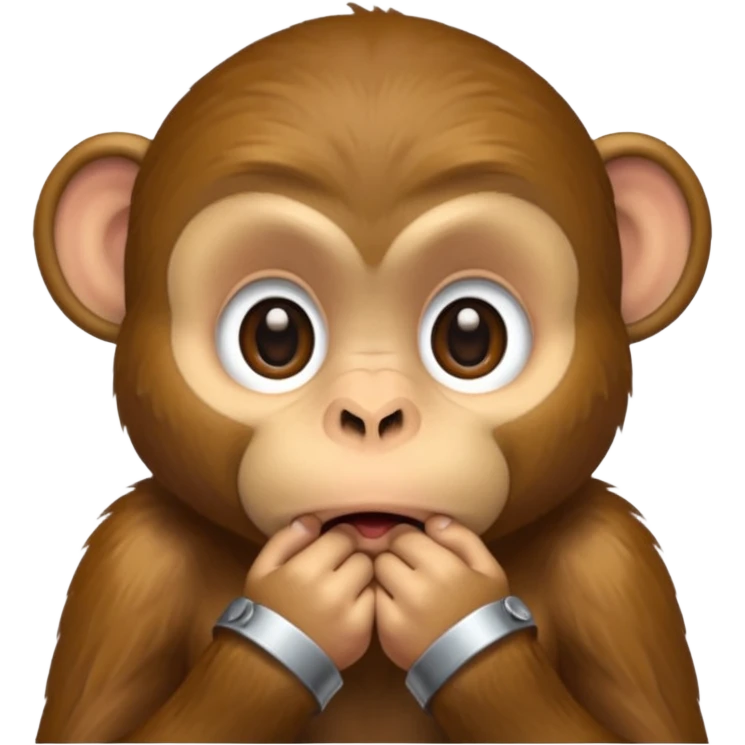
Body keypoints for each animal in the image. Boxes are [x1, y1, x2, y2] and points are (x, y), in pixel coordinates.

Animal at [32, 5, 711, 744]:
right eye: (275, 335)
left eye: (470, 335)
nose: (372, 413)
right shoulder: (129, 561)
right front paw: (300, 603)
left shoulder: (614, 565)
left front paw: (449, 603)